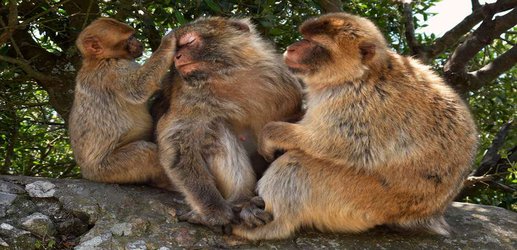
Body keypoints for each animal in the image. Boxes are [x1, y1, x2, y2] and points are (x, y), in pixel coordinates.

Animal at [68, 17, 175, 189]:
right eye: (129, 38)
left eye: (134, 36)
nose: (139, 43)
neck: (98, 60)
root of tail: (87, 174)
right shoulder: (113, 70)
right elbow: (138, 87)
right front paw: (169, 41)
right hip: (108, 169)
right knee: (145, 152)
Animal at [153, 17, 304, 229]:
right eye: (176, 49)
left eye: (189, 42)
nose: (177, 57)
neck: (230, 79)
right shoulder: (189, 93)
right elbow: (177, 141)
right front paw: (214, 210)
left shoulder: (284, 81)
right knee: (214, 128)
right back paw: (241, 200)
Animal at [232, 13, 478, 240]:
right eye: (304, 37)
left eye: (314, 43)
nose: (292, 48)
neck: (359, 75)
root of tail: (427, 214)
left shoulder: (357, 104)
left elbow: (335, 144)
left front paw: (271, 133)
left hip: (365, 201)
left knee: (297, 165)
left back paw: (274, 225)